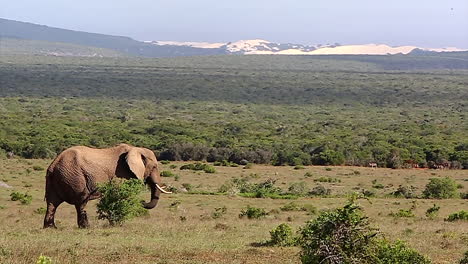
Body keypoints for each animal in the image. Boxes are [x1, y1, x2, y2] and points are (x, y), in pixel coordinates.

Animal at [43, 143, 171, 228]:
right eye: (154, 167)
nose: (142, 201)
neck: (135, 149)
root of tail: (53, 164)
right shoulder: (121, 173)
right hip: (75, 177)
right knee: (81, 202)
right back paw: (86, 227)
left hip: (56, 179)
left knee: (52, 203)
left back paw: (51, 228)